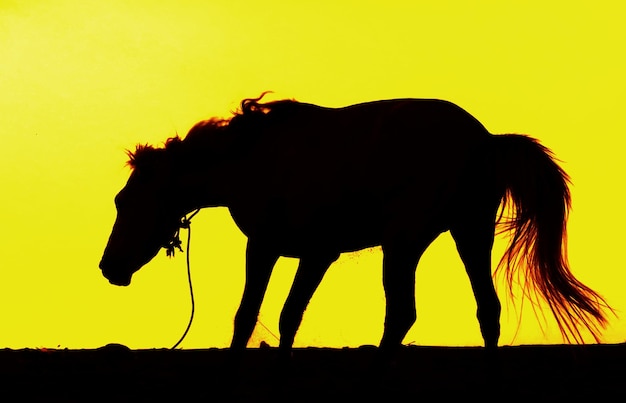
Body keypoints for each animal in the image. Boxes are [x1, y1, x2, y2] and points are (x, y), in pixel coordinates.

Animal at [98, 94, 608, 360]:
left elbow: (247, 316)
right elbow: (288, 316)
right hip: (469, 233)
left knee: (402, 312)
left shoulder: (263, 245)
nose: (108, 267)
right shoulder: (317, 253)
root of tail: (486, 141)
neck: (251, 156)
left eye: (125, 202)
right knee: (488, 310)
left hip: (403, 243)